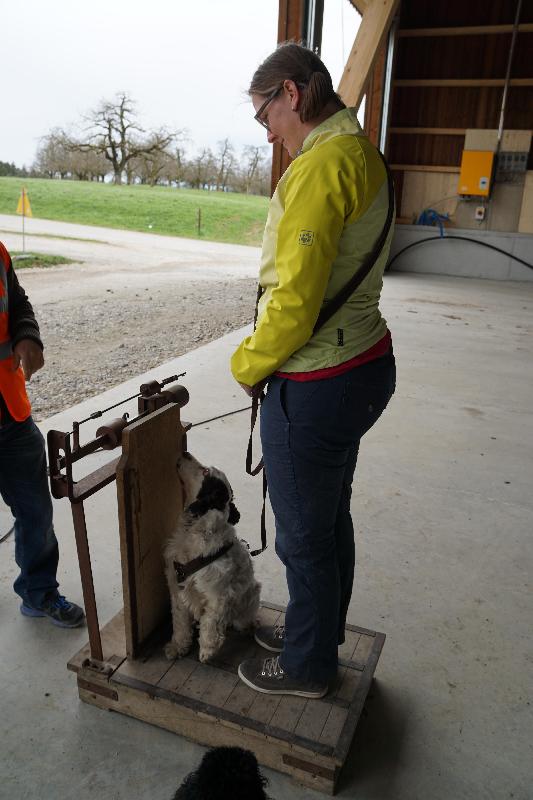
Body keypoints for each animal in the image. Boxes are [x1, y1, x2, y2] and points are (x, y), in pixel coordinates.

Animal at [164, 452, 261, 663]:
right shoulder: (178, 587)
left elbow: (210, 623)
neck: (195, 533)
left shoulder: (218, 594)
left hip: (251, 594)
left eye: (205, 471)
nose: (185, 453)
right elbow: (180, 622)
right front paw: (178, 646)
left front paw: (207, 650)